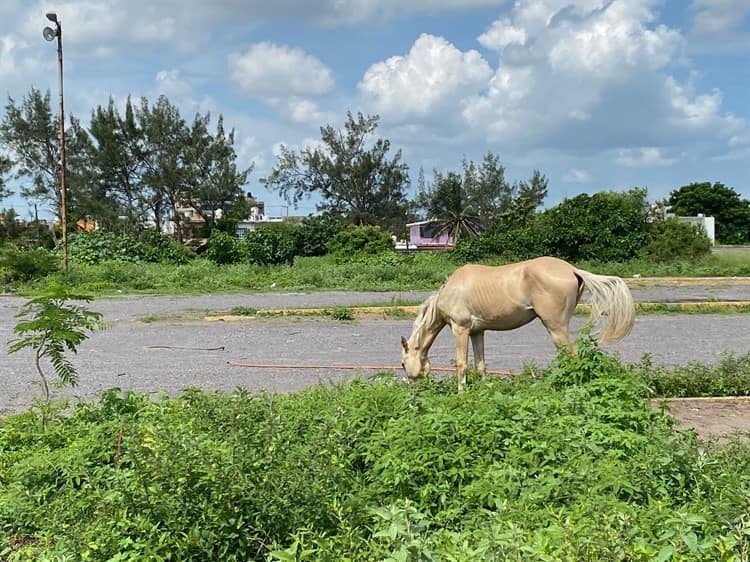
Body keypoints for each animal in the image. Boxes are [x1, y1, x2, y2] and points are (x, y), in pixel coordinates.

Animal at [400, 256, 636, 388]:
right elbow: (480, 365)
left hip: (556, 328)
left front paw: (461, 393)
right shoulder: (477, 332)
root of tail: (572, 270)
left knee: (571, 357)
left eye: (402, 363)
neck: (449, 291)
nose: (412, 388)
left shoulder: (461, 329)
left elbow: (461, 364)